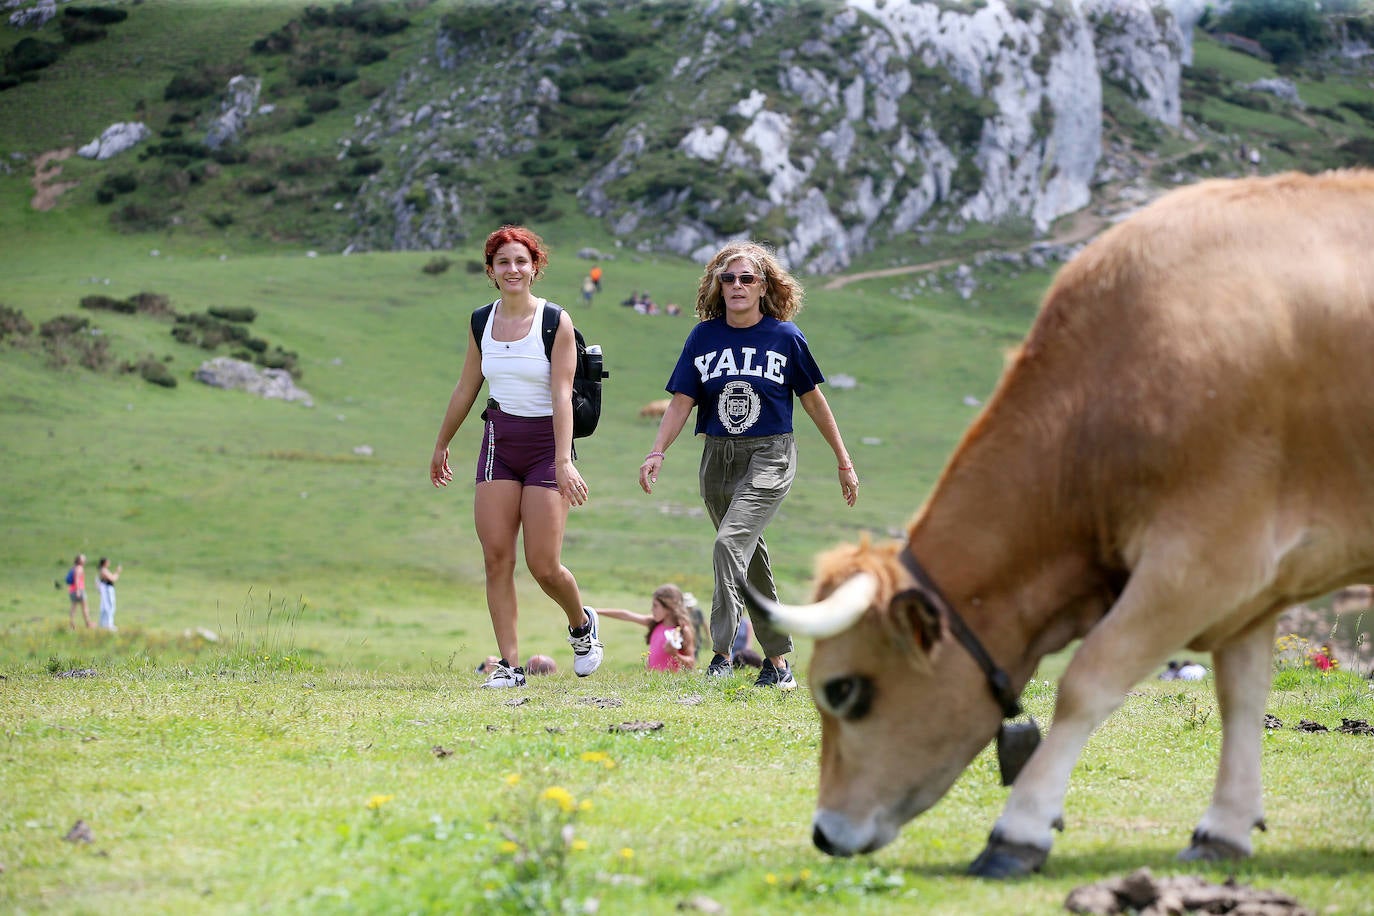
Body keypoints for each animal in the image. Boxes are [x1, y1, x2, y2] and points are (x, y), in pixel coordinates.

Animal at [758, 168, 1374, 878]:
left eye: (842, 690)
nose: (825, 834)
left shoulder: (1208, 557)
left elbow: (1087, 680)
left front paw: (1018, 830)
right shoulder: (1253, 588)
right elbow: (1242, 698)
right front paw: (1223, 830)